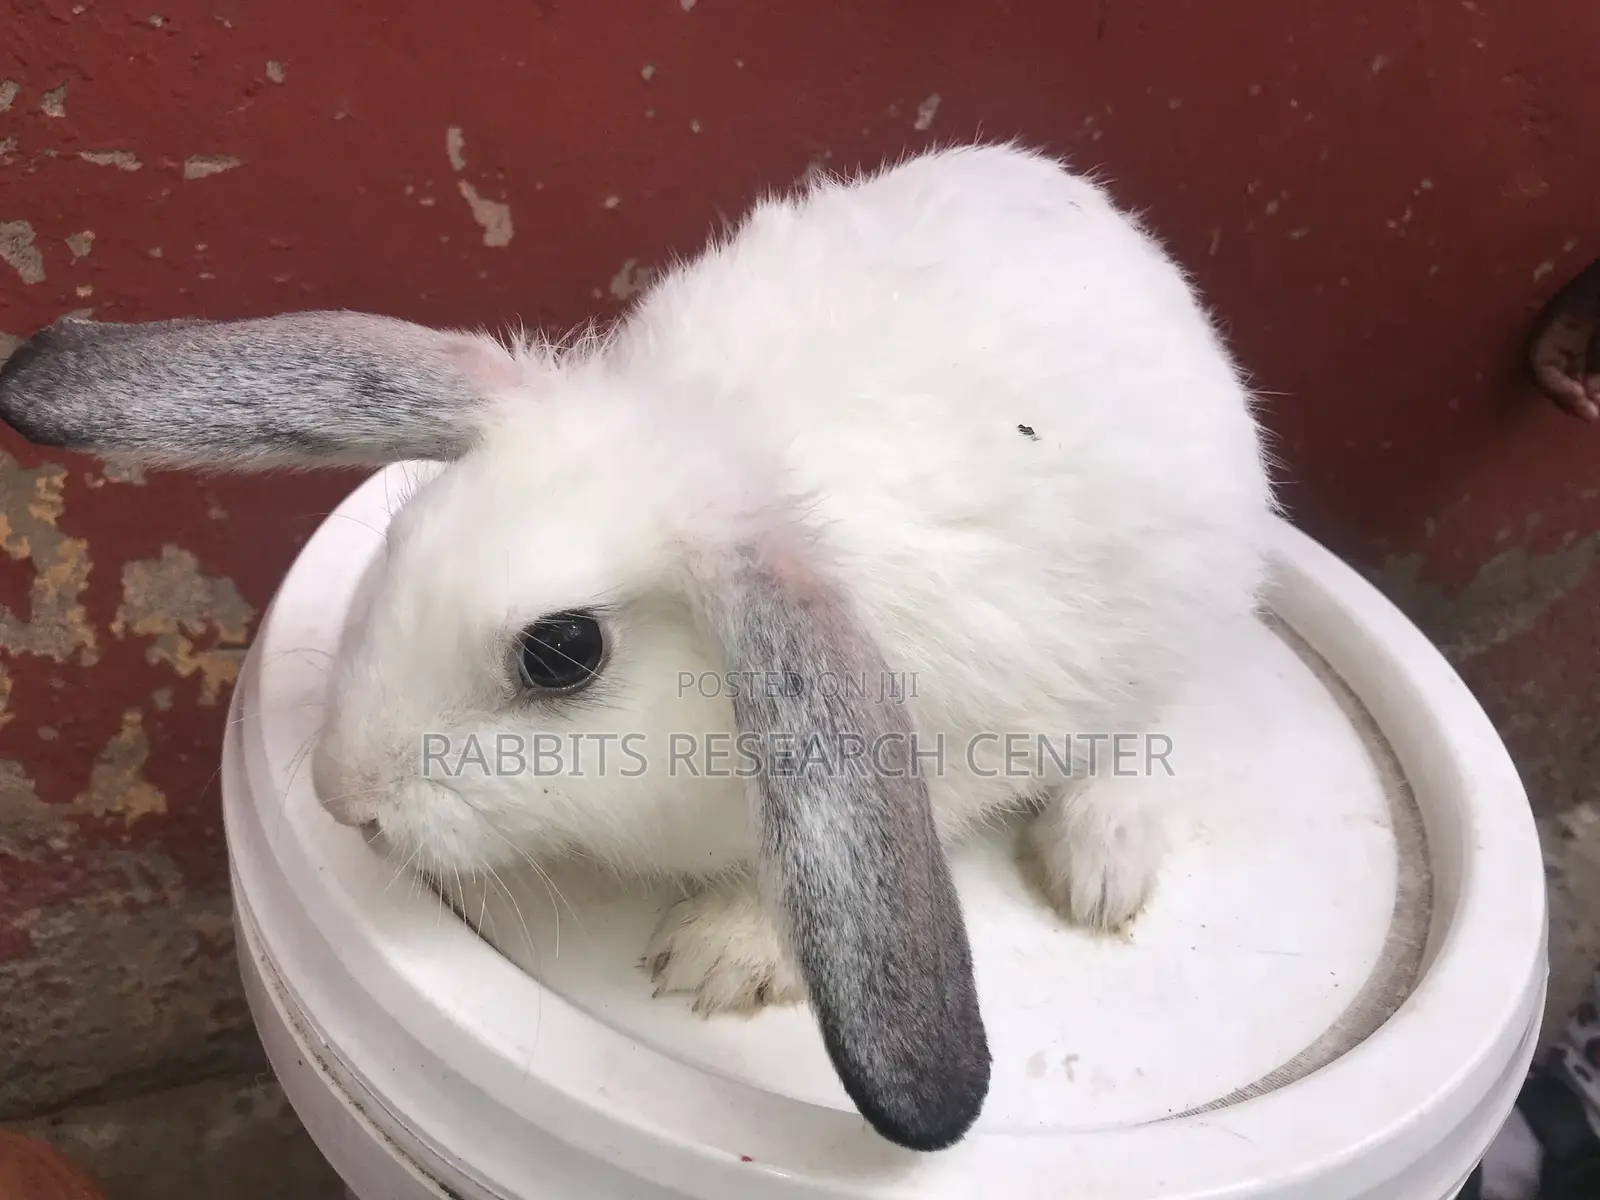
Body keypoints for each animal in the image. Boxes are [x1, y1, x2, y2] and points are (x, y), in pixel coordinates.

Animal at [0, 141, 1277, 1152]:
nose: (344, 799)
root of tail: (1114, 226)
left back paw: (1097, 859)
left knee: (1154, 726)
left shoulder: (969, 741)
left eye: (562, 654)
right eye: (400, 536)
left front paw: (716, 957)